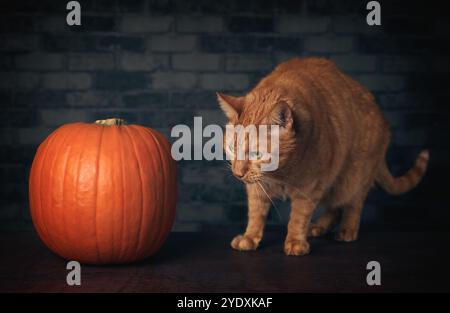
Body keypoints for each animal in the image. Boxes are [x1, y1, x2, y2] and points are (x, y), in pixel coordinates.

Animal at [218, 57, 428, 255]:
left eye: (257, 153)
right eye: (232, 148)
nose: (237, 174)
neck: (280, 173)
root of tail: (383, 120)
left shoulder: (310, 186)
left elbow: (299, 217)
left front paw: (295, 241)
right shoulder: (258, 188)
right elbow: (256, 213)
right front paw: (249, 237)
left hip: (354, 176)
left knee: (353, 204)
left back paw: (347, 230)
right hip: (334, 180)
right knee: (334, 206)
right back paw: (319, 226)